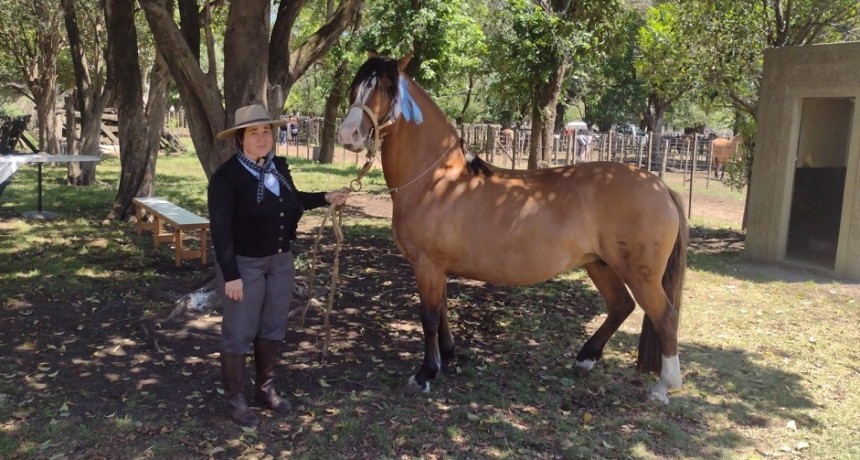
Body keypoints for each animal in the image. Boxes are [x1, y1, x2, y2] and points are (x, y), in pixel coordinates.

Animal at [337, 54, 688, 404]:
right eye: (356, 85)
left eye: (385, 87)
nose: (349, 134)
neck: (438, 181)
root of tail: (659, 186)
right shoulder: (438, 268)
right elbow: (443, 311)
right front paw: (448, 356)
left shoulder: (427, 265)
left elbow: (430, 317)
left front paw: (425, 374)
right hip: (599, 263)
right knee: (621, 305)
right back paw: (585, 359)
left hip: (639, 273)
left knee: (665, 317)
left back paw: (664, 386)